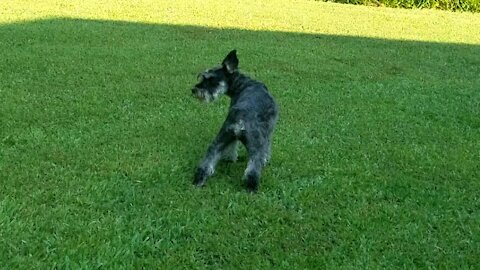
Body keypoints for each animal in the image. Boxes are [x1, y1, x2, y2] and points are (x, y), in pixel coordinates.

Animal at [193, 49, 280, 191]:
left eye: (212, 80)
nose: (194, 90)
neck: (245, 84)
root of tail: (240, 120)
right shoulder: (268, 132)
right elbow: (267, 147)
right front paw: (266, 159)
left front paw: (229, 158)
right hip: (255, 146)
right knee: (253, 169)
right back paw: (251, 188)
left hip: (219, 139)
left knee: (207, 161)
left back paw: (199, 180)